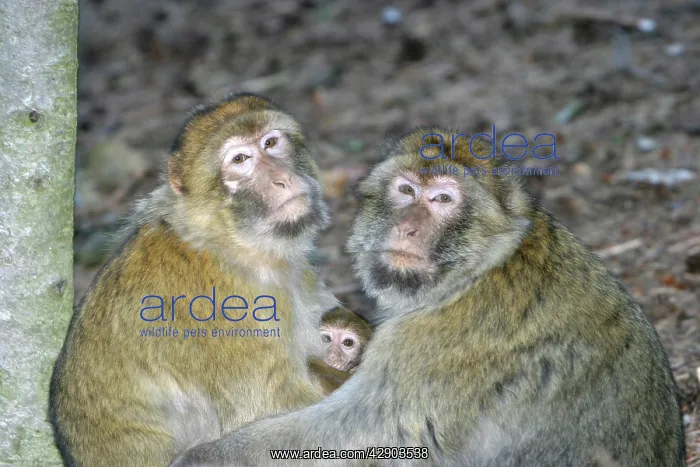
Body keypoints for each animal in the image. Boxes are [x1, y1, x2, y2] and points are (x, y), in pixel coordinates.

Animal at [169, 128, 685, 467]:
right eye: (406, 190)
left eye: (442, 200)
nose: (409, 227)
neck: (475, 271)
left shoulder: (429, 342)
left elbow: (368, 434)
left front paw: (206, 458)